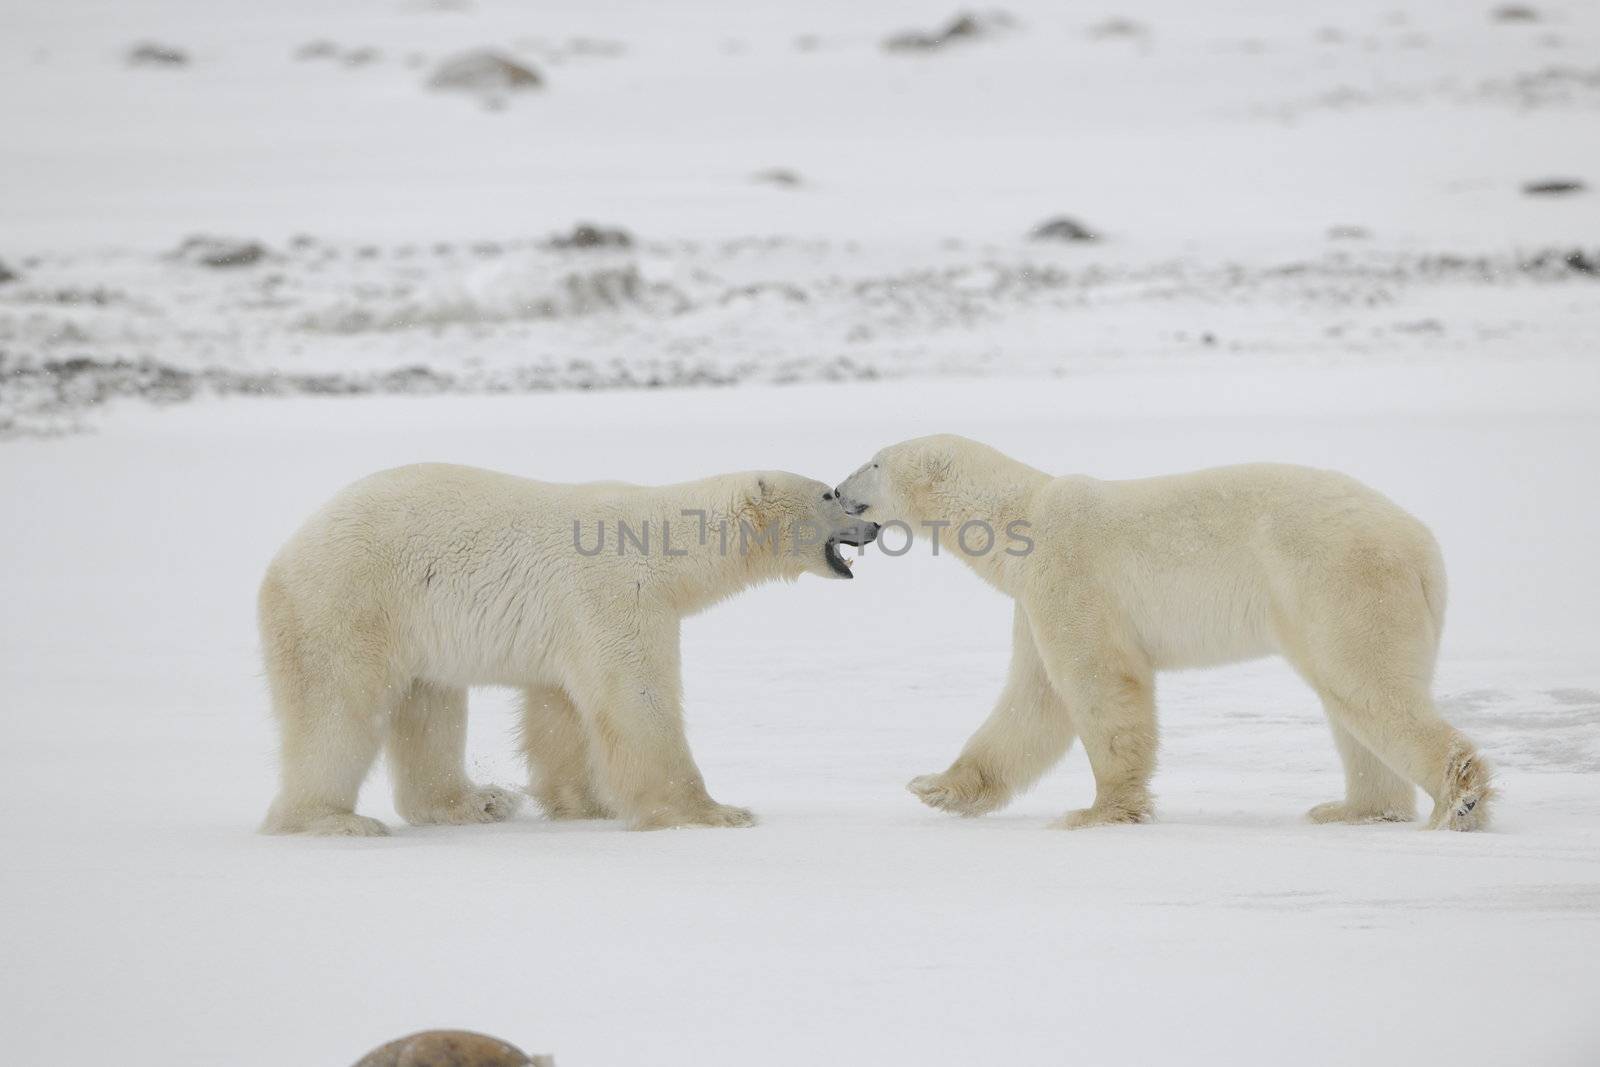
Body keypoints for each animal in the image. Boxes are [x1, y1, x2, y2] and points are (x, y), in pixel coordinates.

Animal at [264, 463, 889, 838]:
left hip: (414, 627)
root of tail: (285, 555)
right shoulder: (617, 592)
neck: (668, 544)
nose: (875, 527)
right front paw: (715, 812)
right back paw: (331, 820)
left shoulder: (571, 625)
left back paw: (476, 801)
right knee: (338, 711)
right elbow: (637, 698)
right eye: (829, 494)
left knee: (431, 707)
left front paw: (586, 803)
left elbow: (560, 709)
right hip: (350, 605)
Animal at [832, 435, 1491, 831]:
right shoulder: (1033, 600)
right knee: (1352, 704)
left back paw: (1459, 799)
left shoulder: (1072, 576)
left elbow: (1098, 684)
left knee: (1368, 685)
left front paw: (1097, 811)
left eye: (874, 462)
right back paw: (1353, 809)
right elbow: (1032, 702)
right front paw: (936, 787)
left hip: (1338, 579)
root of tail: (1422, 546)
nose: (836, 489)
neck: (1023, 518)